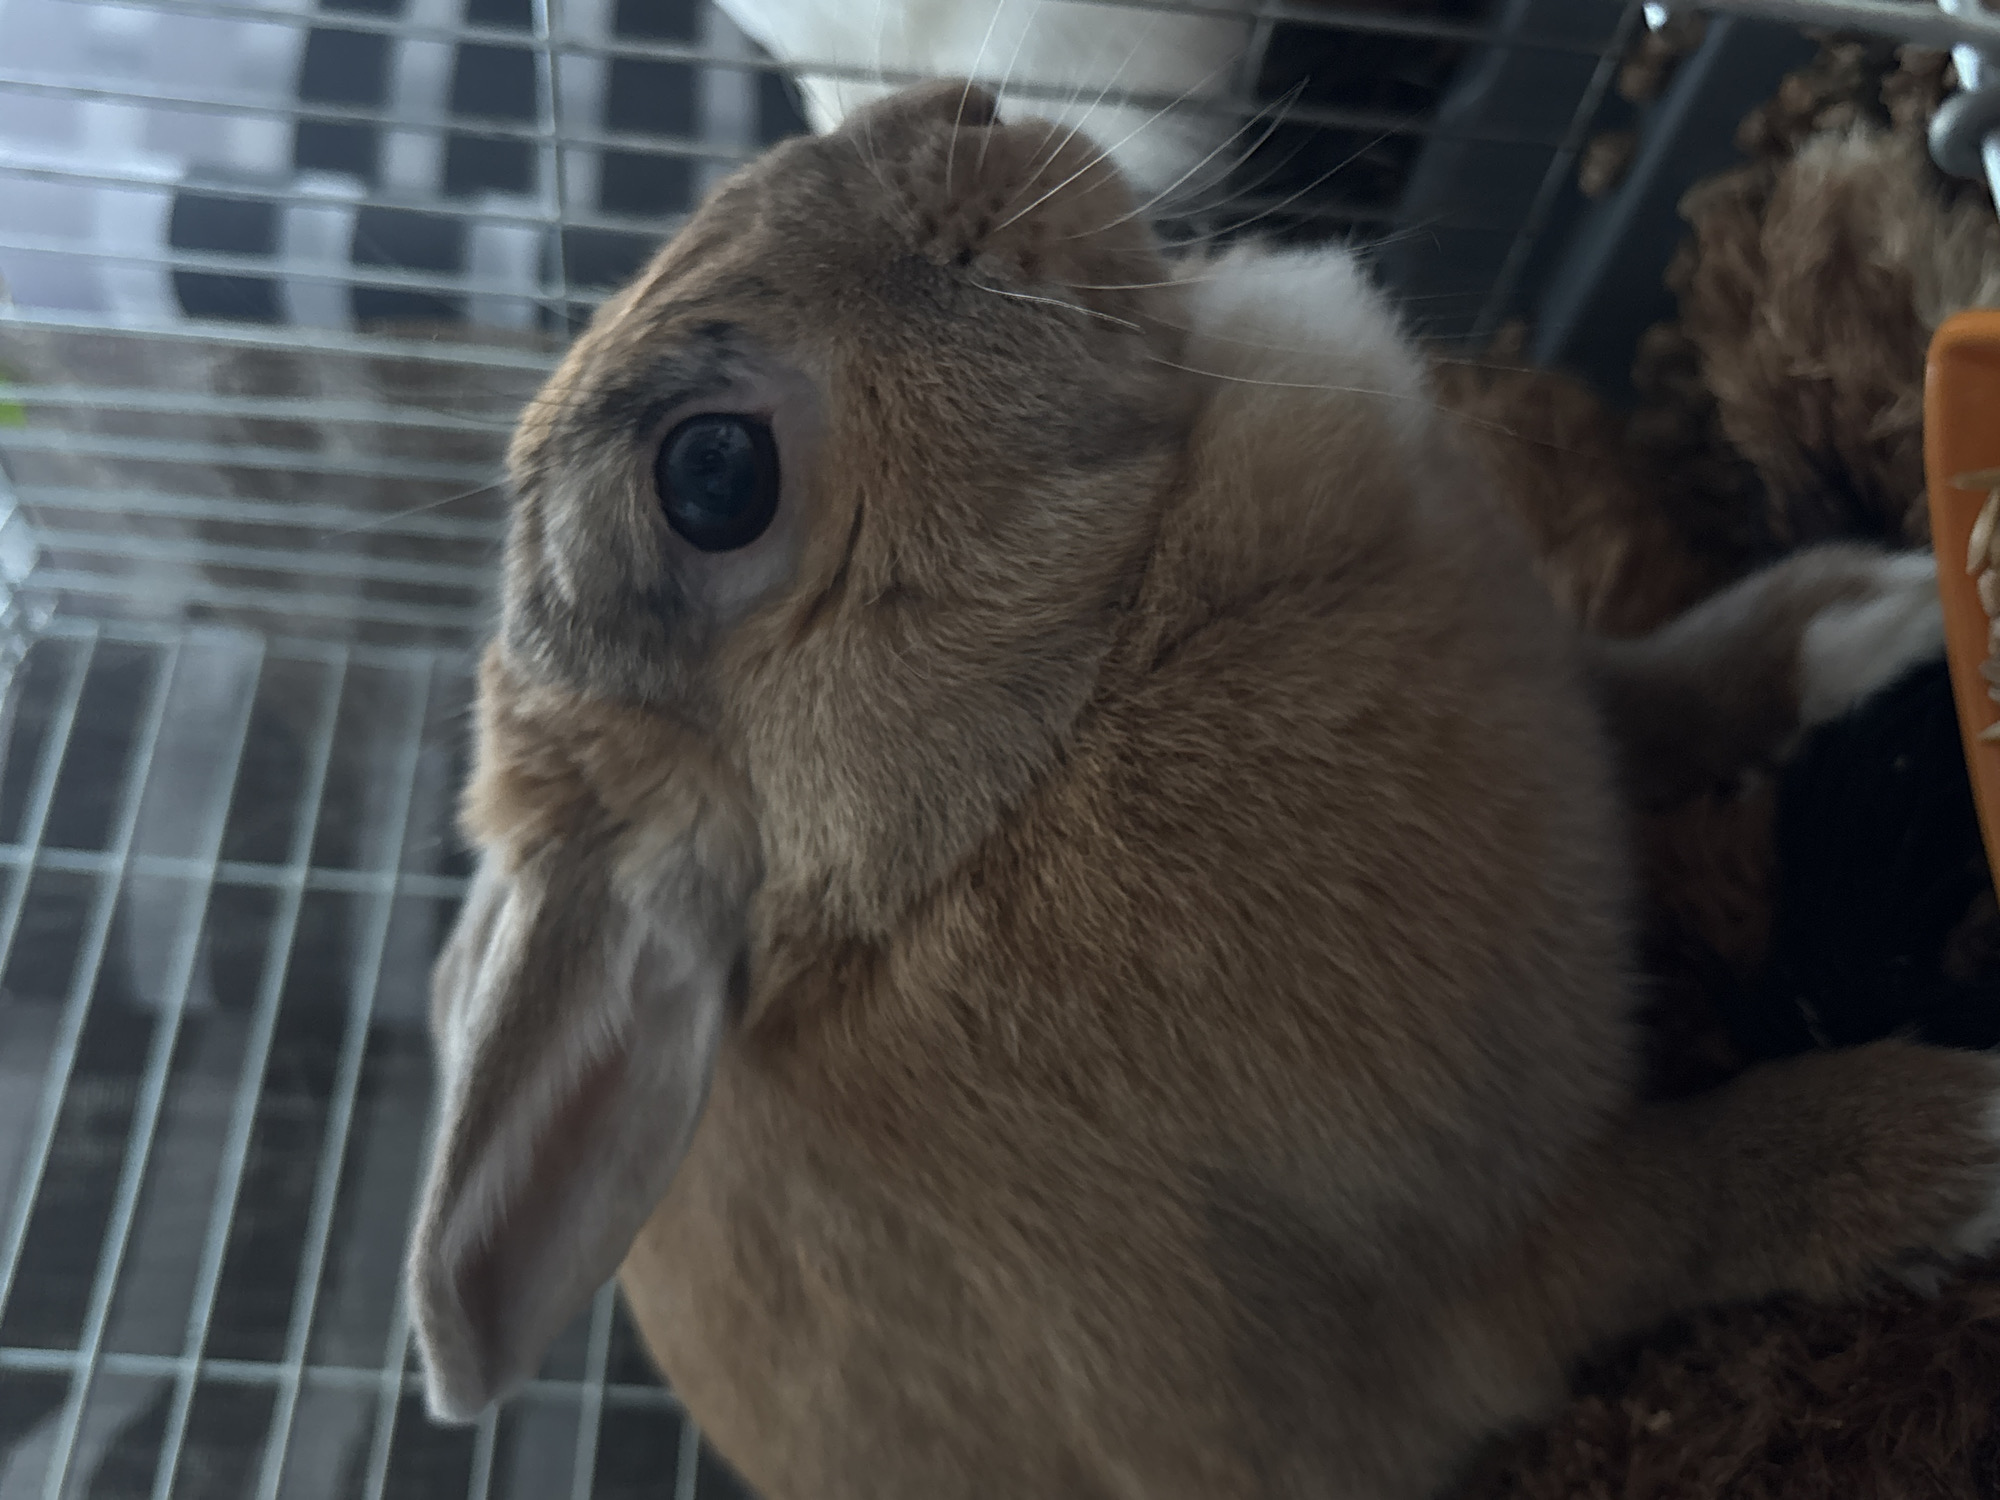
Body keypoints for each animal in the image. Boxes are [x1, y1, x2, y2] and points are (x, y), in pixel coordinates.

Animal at [404, 81, 1996, 1500]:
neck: (1020, 770)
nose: (961, 112)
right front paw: (1948, 1147)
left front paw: (1858, 623)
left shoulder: (1567, 678)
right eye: (715, 477)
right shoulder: (1505, 1274)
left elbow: (1654, 693)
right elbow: (1705, 1193)